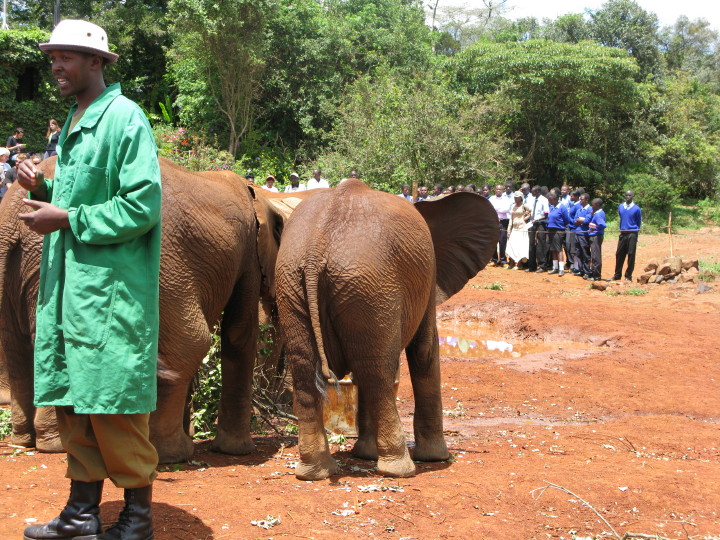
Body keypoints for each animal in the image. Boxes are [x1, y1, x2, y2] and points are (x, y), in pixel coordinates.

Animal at [0, 156, 300, 463]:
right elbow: (239, 334)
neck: (262, 198)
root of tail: (12, 217)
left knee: (16, 346)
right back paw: (166, 452)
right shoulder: (249, 253)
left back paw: (29, 440)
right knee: (188, 344)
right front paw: (237, 450)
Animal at [275, 179, 498, 480]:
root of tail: (314, 252)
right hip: (369, 286)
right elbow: (425, 350)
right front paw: (436, 457)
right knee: (377, 372)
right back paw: (400, 469)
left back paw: (315, 472)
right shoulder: (427, 276)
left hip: (295, 283)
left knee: (307, 371)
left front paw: (364, 454)